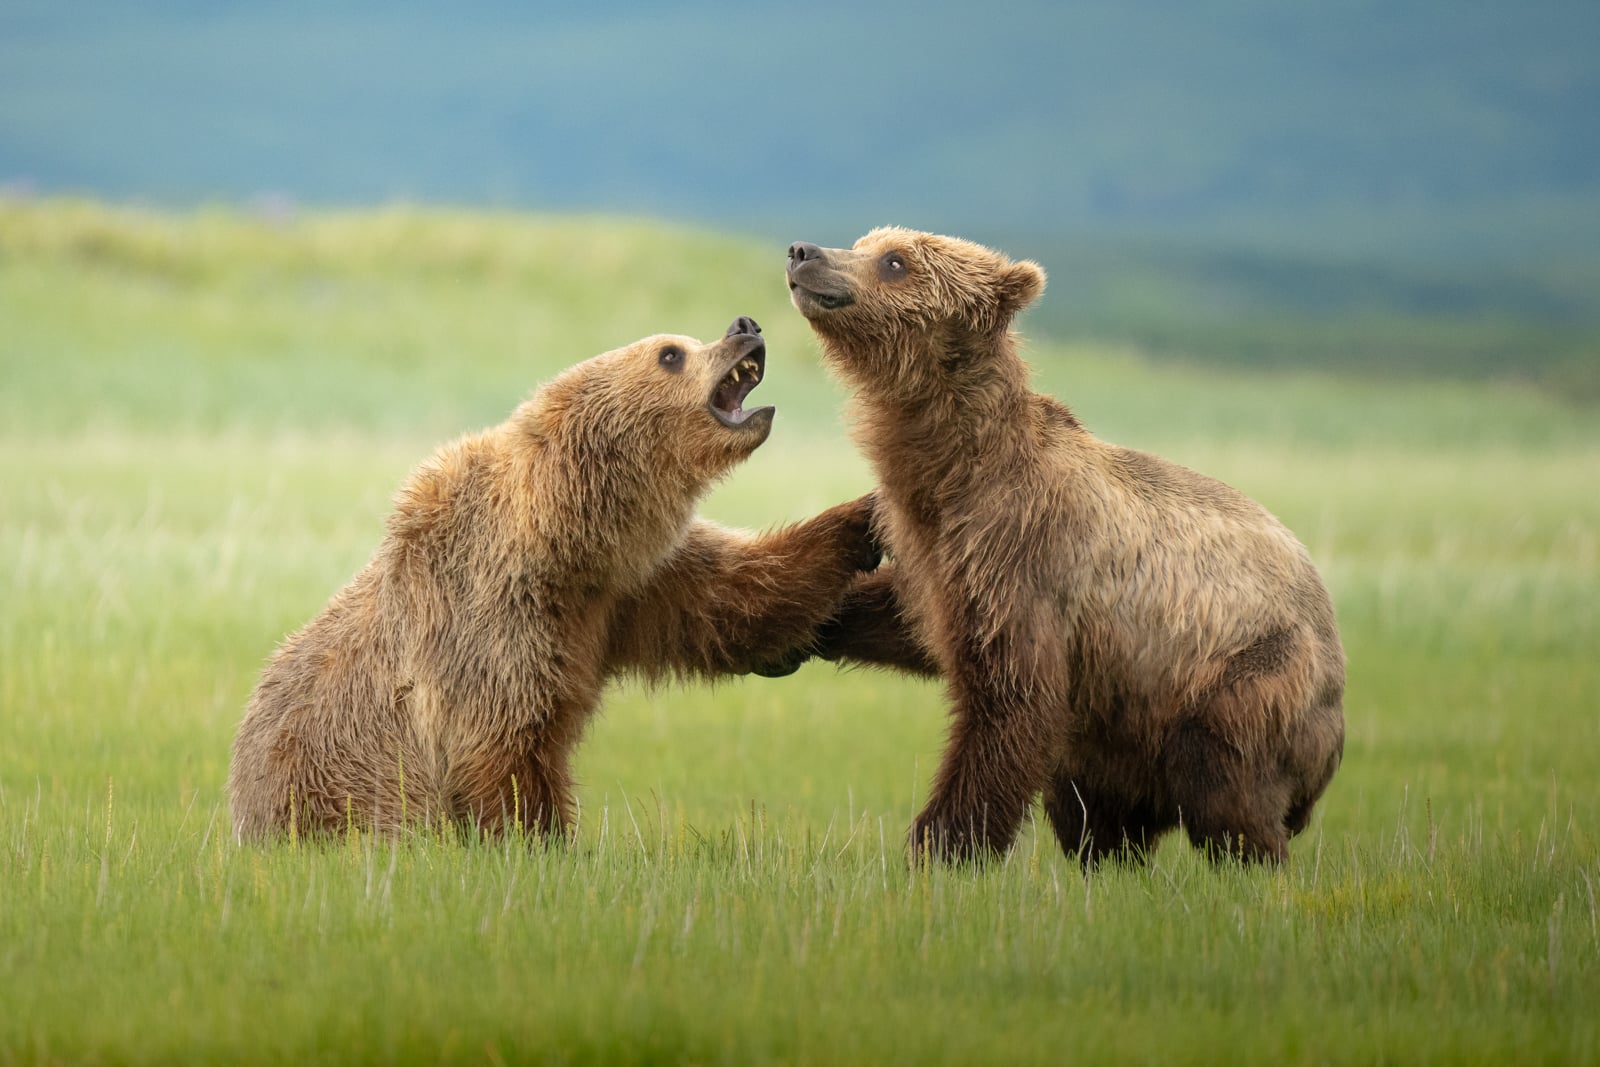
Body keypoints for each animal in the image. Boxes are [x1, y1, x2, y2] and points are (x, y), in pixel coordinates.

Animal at [228, 316, 880, 841]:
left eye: (684, 341)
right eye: (670, 352)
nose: (746, 326)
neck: (563, 544)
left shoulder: (631, 586)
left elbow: (734, 599)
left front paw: (864, 518)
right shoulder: (490, 619)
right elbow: (506, 747)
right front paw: (543, 844)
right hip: (326, 783)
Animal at [785, 229, 1345, 865]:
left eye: (895, 261)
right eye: (865, 242)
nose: (804, 252)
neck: (953, 469)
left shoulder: (1024, 553)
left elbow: (1013, 703)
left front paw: (940, 844)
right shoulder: (934, 551)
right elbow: (907, 618)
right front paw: (802, 626)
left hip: (1247, 678)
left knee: (1223, 782)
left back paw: (1255, 857)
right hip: (1114, 738)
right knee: (1092, 808)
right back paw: (1111, 858)